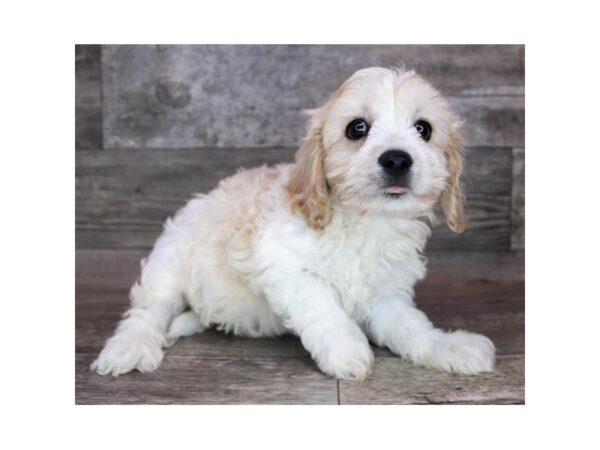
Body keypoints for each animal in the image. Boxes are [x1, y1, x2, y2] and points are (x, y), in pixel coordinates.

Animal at [92, 68, 496, 382]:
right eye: (357, 128)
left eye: (423, 129)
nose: (397, 159)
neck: (365, 220)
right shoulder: (282, 261)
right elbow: (321, 303)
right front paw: (347, 350)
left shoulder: (385, 295)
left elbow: (412, 327)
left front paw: (448, 347)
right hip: (170, 262)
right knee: (148, 311)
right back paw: (129, 348)